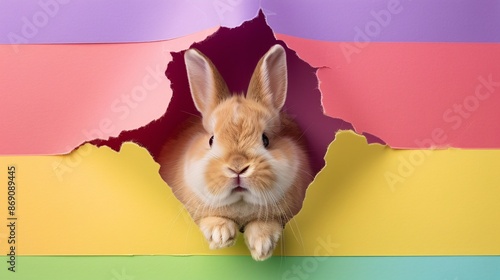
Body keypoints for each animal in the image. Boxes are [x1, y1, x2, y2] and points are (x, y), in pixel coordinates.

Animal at [158, 43, 310, 260]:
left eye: (266, 139)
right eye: (211, 139)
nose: (238, 168)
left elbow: (266, 225)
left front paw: (262, 247)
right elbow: (211, 218)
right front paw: (221, 235)